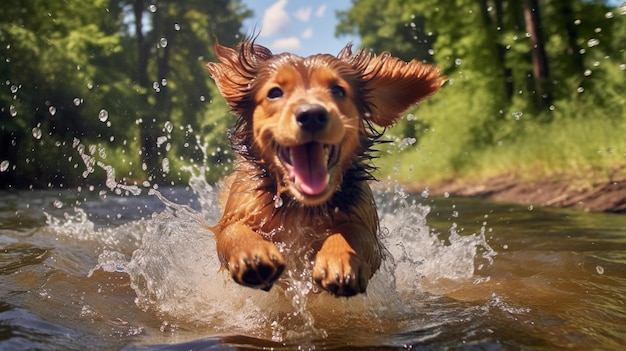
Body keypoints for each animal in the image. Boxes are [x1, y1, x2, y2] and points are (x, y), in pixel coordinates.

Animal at [205, 37, 438, 296]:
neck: (301, 206)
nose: (312, 115)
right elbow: (232, 231)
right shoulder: (243, 207)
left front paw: (339, 260)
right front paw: (252, 254)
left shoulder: (363, 220)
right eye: (275, 93)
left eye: (338, 90)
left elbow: (355, 232)